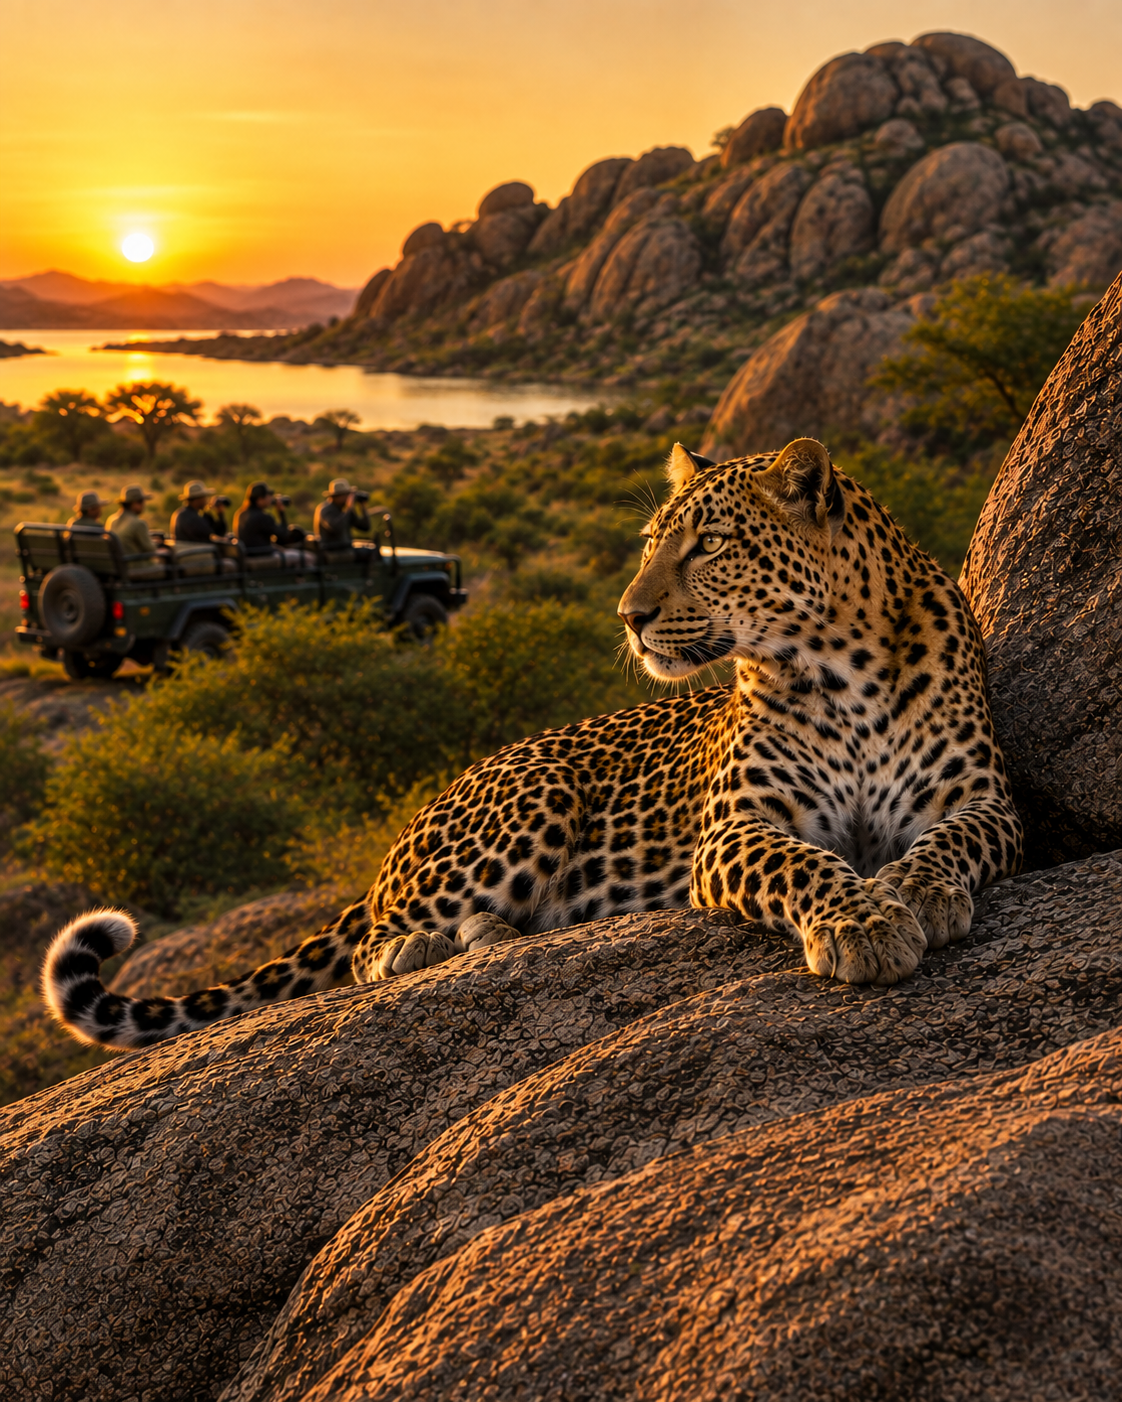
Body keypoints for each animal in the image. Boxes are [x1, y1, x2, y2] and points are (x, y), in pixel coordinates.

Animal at [44, 437, 1023, 1051]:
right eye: (650, 541)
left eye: (709, 545)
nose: (628, 615)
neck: (837, 664)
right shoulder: (736, 829)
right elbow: (808, 865)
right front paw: (866, 923)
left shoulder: (985, 801)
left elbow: (948, 844)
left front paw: (913, 892)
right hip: (534, 794)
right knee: (370, 945)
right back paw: (431, 944)